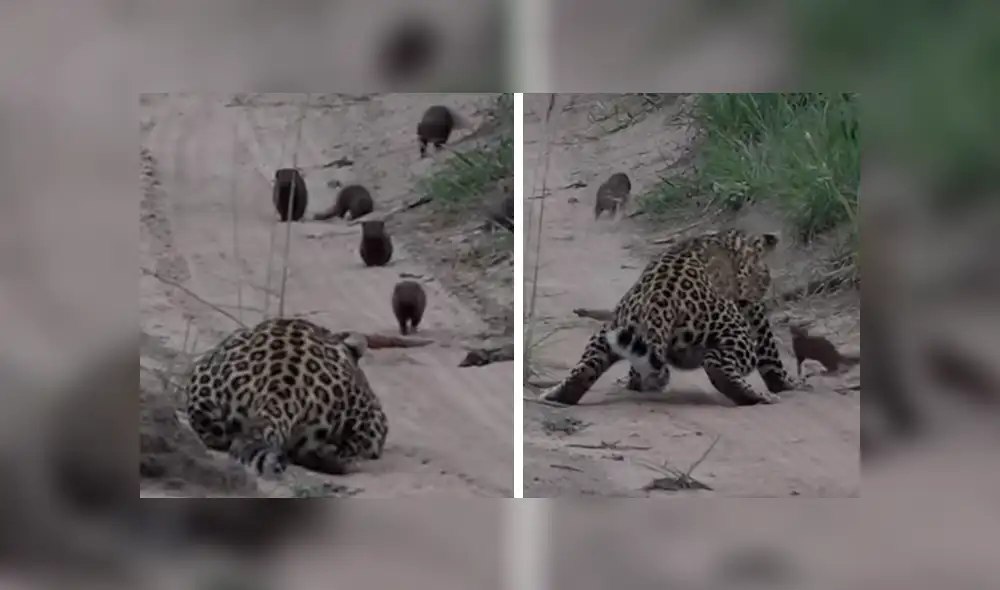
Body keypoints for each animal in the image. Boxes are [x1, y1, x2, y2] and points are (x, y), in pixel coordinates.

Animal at [539, 228, 798, 407]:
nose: (765, 285)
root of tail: (658, 303)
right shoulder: (753, 309)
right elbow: (770, 352)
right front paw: (787, 384)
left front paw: (634, 380)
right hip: (732, 330)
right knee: (717, 366)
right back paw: (758, 397)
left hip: (609, 331)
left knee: (584, 368)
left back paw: (556, 395)